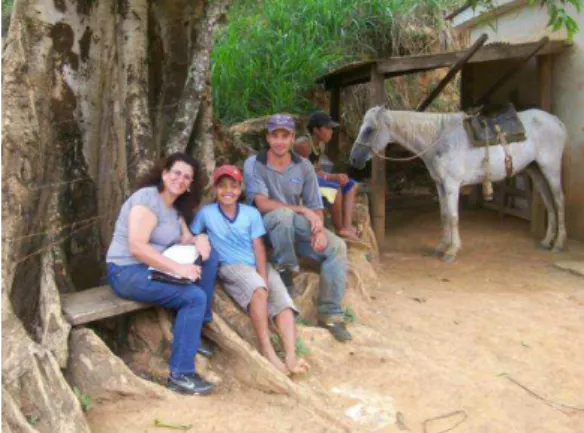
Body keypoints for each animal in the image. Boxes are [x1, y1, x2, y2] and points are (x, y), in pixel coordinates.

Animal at [350, 105, 568, 260]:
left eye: (369, 130)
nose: (353, 159)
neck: (438, 139)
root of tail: (556, 121)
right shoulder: (440, 185)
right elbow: (444, 215)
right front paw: (441, 246)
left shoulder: (452, 185)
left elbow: (454, 217)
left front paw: (452, 250)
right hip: (536, 171)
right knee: (549, 202)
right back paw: (547, 240)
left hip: (550, 169)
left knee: (558, 201)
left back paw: (558, 243)